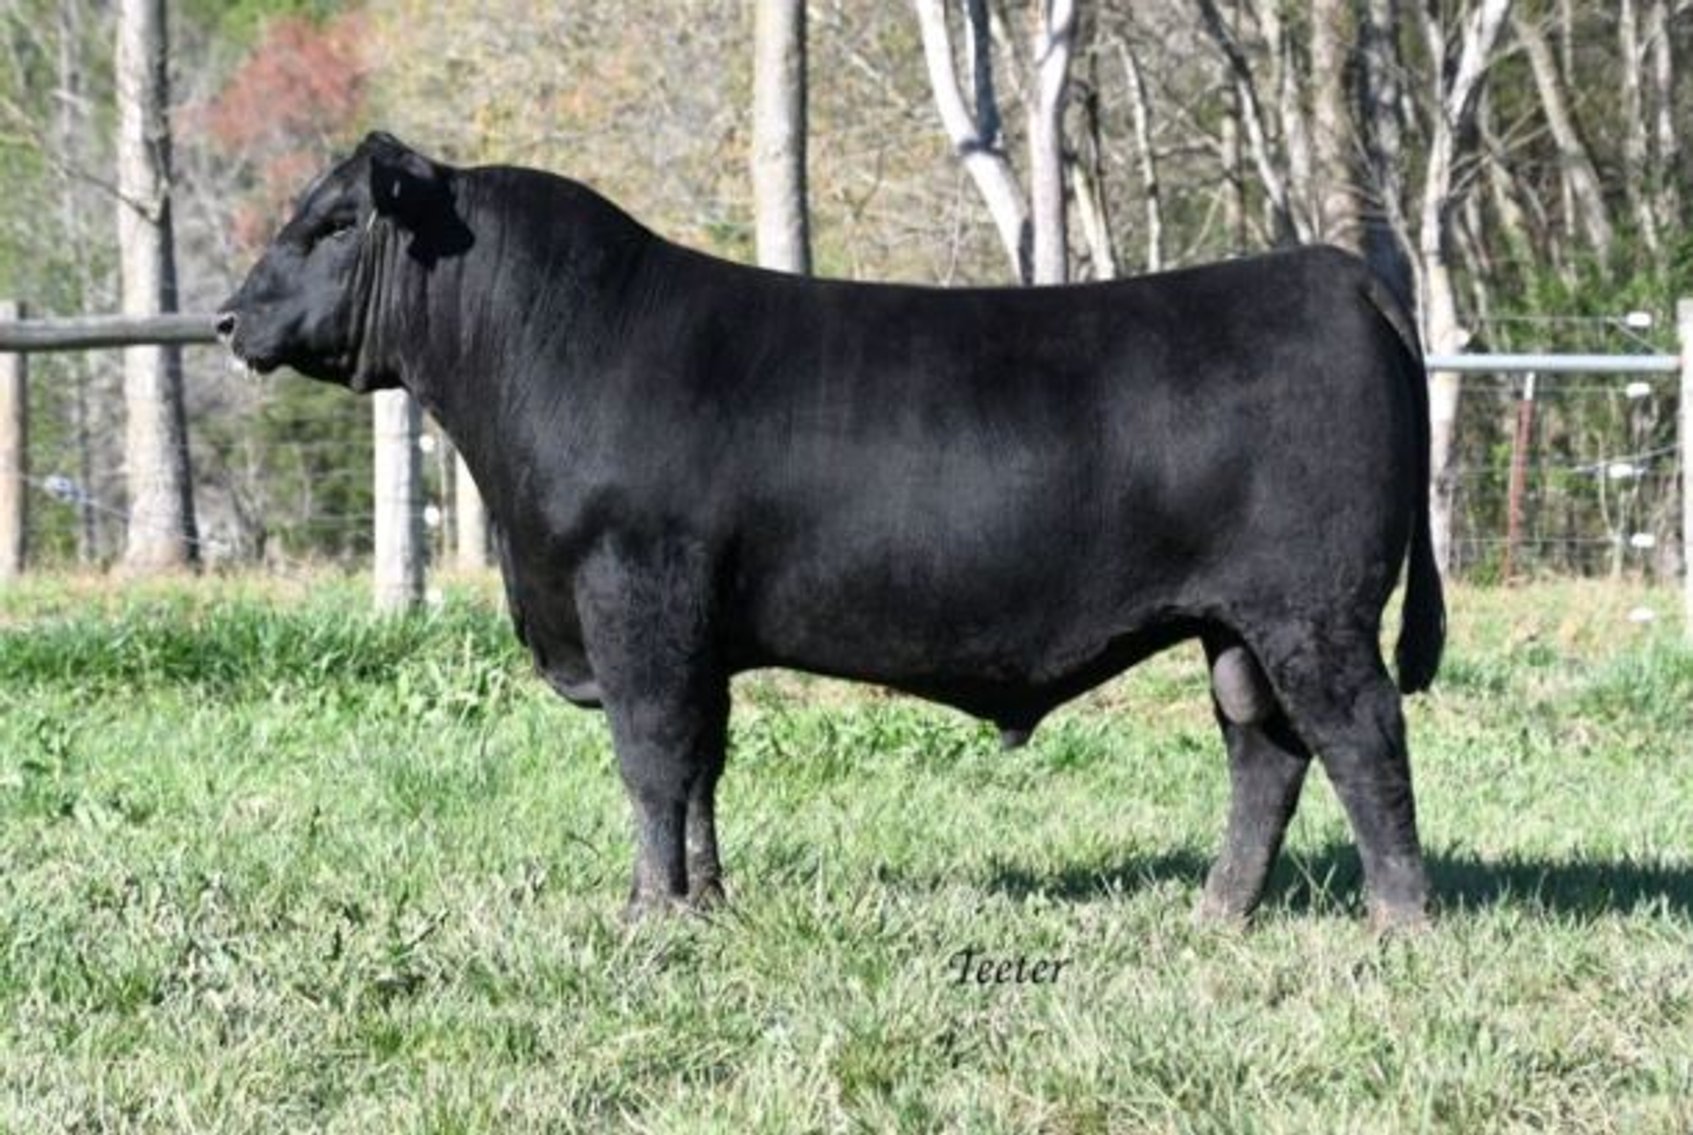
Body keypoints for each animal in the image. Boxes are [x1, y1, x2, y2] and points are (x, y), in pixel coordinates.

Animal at [218, 133, 1444, 931]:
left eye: (333, 223)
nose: (229, 316)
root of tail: (1331, 270)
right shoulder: (695, 633)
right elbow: (701, 766)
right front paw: (702, 901)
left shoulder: (635, 599)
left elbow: (651, 760)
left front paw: (647, 916)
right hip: (1237, 624)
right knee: (1265, 751)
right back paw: (1215, 912)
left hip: (1313, 611)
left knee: (1363, 738)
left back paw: (1397, 921)